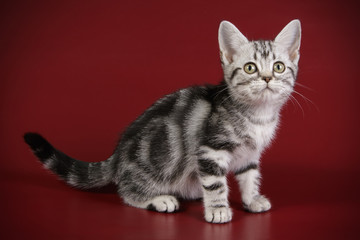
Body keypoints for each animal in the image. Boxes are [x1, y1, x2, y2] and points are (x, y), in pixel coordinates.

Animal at [23, 19, 300, 224]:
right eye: (251, 68)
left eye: (278, 67)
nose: (267, 78)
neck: (258, 115)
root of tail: (117, 156)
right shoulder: (210, 149)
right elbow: (215, 183)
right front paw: (218, 209)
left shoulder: (250, 154)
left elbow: (249, 175)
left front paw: (252, 199)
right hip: (153, 168)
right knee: (127, 192)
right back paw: (159, 199)